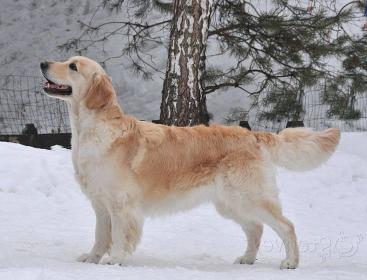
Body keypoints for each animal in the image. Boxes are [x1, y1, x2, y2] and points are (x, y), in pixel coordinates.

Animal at [39, 56, 340, 270]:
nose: (43, 63)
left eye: (73, 66)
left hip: (249, 197)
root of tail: (253, 134)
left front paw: (116, 259)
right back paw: (247, 259)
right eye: (67, 60)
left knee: (285, 225)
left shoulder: (122, 204)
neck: (90, 129)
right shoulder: (100, 204)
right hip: (230, 202)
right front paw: (92, 259)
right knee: (255, 228)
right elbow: (100, 236)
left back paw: (291, 262)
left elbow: (122, 236)